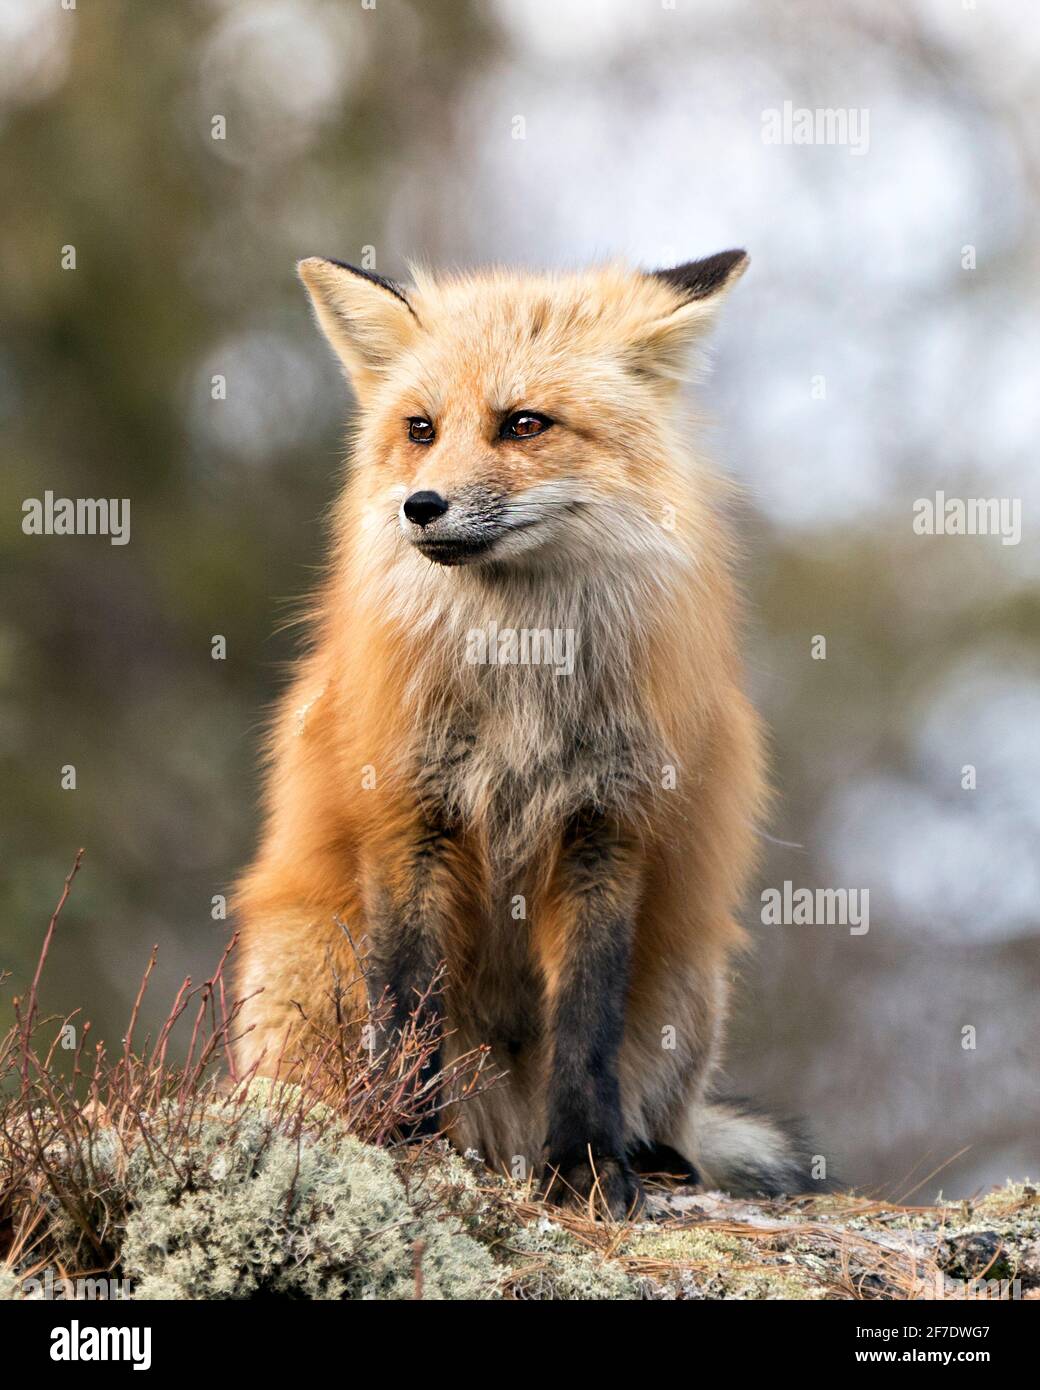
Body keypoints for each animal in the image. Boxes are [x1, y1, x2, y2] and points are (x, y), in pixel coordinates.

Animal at [234, 250, 811, 1217]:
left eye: (524, 424)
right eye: (421, 428)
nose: (421, 506)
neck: (519, 684)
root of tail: (497, 1127)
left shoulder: (606, 827)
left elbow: (585, 1024)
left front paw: (586, 1167)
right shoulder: (409, 816)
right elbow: (410, 1004)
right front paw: (403, 1142)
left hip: (688, 980)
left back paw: (652, 1152)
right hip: (309, 966)